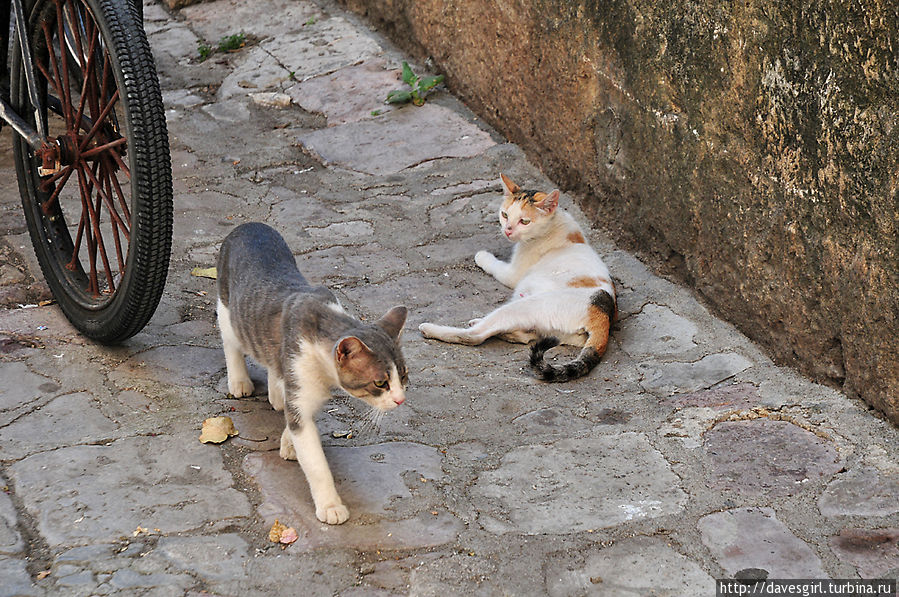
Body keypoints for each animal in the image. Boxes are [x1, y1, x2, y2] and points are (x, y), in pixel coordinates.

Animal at [218, 222, 408, 520]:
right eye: (380, 383)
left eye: (405, 375)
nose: (400, 400)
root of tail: (248, 225)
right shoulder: (299, 371)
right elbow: (315, 460)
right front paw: (330, 505)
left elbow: (295, 414)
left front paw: (287, 442)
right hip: (227, 309)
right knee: (231, 341)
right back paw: (239, 381)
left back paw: (276, 394)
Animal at [420, 172, 620, 382]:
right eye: (505, 215)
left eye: (524, 221)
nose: (507, 229)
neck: (555, 224)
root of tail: (604, 315)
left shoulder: (513, 274)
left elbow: (495, 266)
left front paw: (482, 256)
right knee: (525, 336)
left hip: (527, 306)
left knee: (475, 336)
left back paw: (431, 329)